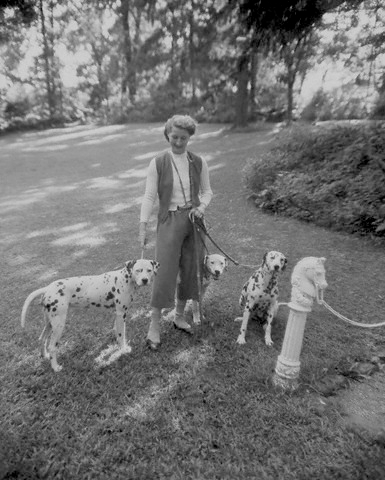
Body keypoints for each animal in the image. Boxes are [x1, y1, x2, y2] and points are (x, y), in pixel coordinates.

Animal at [20, 256, 159, 374]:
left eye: (149, 270)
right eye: (138, 270)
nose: (145, 280)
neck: (125, 279)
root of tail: (48, 288)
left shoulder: (117, 314)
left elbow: (116, 330)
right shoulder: (121, 314)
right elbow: (121, 335)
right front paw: (123, 349)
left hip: (49, 323)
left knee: (42, 339)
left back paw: (45, 356)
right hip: (59, 324)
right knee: (52, 346)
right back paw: (55, 367)